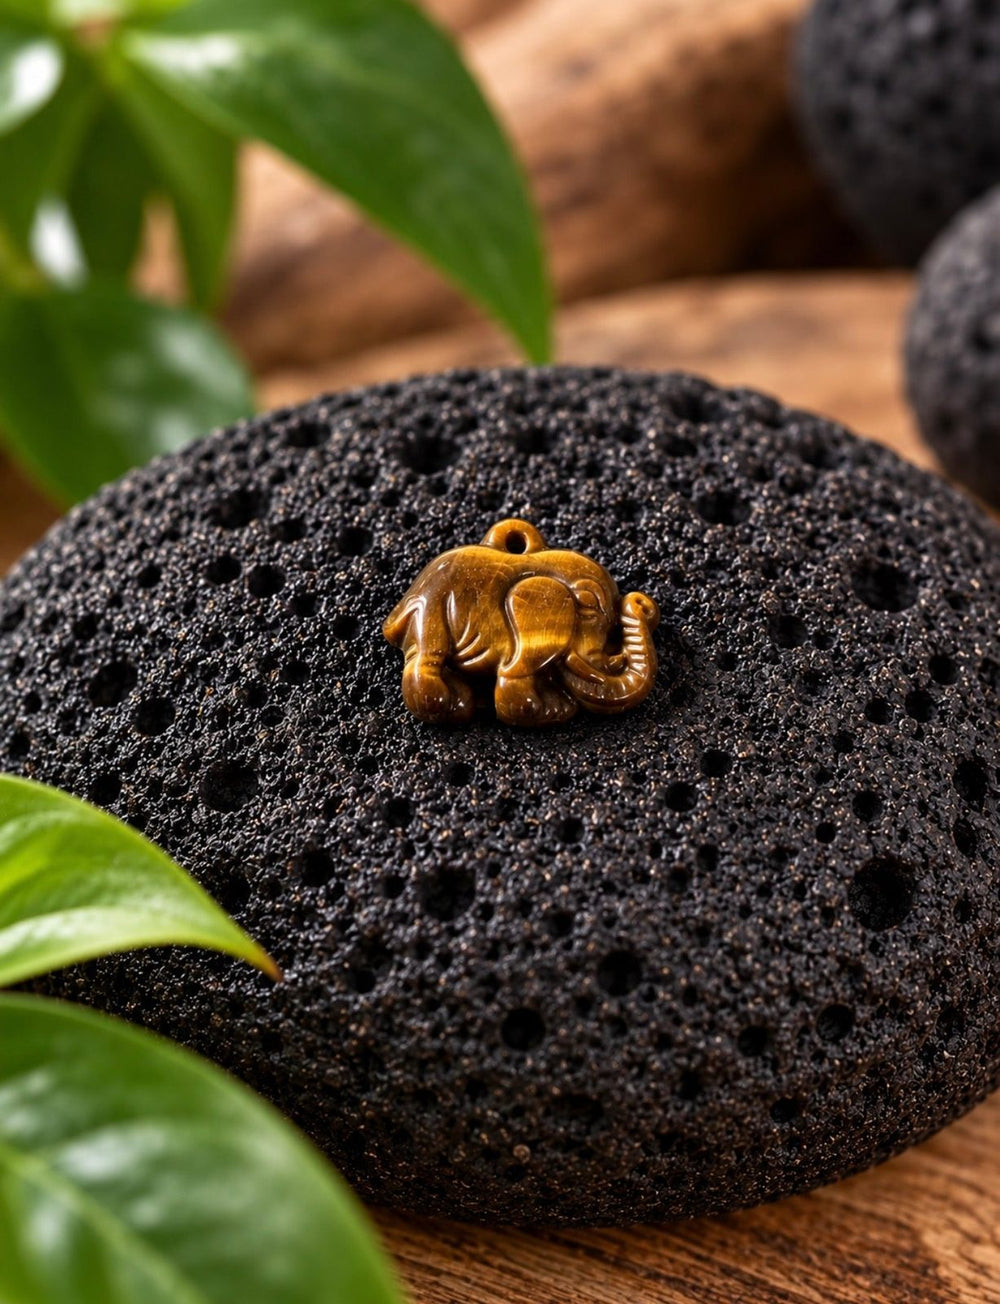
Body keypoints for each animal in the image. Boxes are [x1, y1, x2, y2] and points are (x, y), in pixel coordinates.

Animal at [383, 518, 660, 726]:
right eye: (589, 608)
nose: (641, 602)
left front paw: (556, 709)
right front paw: (541, 712)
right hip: (432, 609)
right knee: (427, 656)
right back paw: (447, 707)